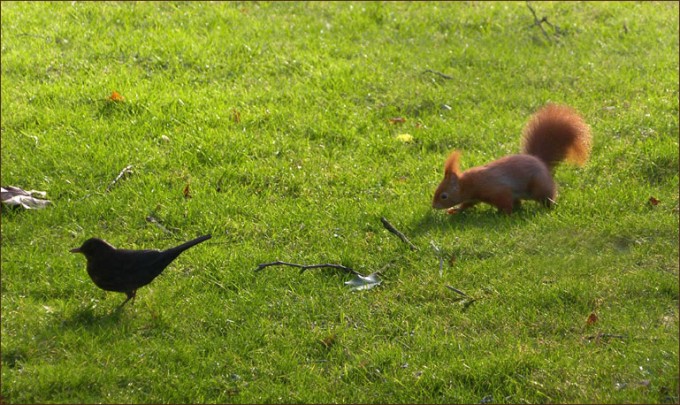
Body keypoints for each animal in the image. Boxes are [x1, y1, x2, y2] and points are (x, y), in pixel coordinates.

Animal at [432, 104, 592, 215]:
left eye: (444, 196)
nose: (433, 206)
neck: (468, 183)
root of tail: (540, 162)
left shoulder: (497, 190)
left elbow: (505, 202)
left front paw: (505, 215)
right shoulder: (472, 197)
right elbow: (466, 204)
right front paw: (455, 210)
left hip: (539, 186)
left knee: (546, 197)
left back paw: (549, 207)